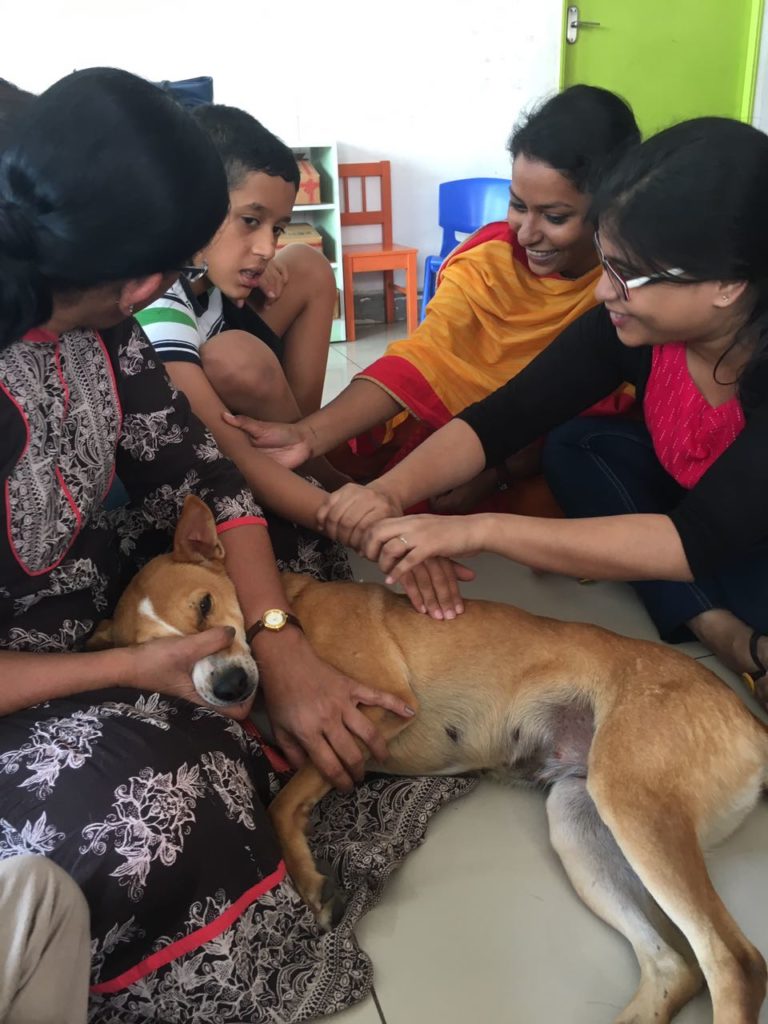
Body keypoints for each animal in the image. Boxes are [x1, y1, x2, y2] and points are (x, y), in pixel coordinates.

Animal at [99, 497, 765, 1024]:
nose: (230, 686)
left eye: (205, 605)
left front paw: (310, 881)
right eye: (163, 660)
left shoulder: (369, 705)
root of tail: (752, 720)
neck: (288, 613)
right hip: (579, 820)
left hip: (631, 802)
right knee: (673, 966)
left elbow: (283, 802)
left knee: (732, 961)